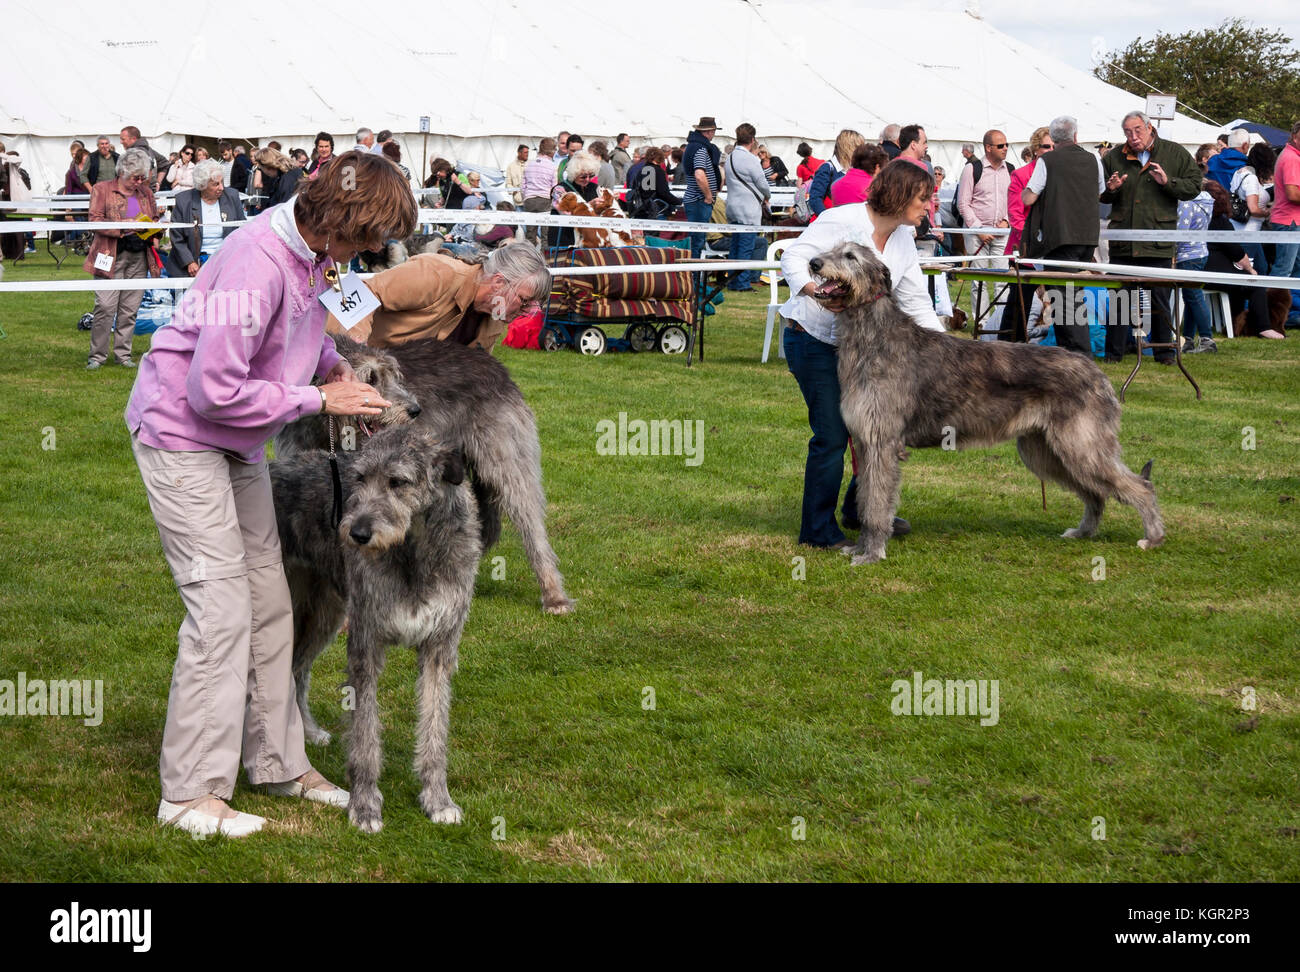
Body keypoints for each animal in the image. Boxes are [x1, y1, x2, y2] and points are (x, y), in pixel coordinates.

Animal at [273, 426, 483, 826]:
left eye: (397, 482)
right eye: (359, 478)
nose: (355, 533)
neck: (413, 552)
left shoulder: (440, 647)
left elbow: (435, 728)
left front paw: (438, 799)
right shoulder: (365, 644)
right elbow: (365, 735)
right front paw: (365, 804)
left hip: (326, 613)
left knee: (297, 668)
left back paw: (308, 730)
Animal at [275, 330, 574, 610]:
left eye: (395, 375)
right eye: (370, 378)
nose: (414, 410)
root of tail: (491, 362)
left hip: (508, 459)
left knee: (531, 522)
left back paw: (554, 595)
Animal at [811, 239, 1170, 566]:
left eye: (850, 256)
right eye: (832, 248)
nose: (814, 263)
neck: (872, 335)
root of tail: (1097, 373)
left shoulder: (881, 442)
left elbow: (875, 504)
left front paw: (871, 553)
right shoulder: (865, 441)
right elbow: (866, 498)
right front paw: (859, 548)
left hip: (1081, 445)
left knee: (1140, 486)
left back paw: (1153, 537)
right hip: (1045, 450)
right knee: (1095, 492)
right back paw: (1084, 532)